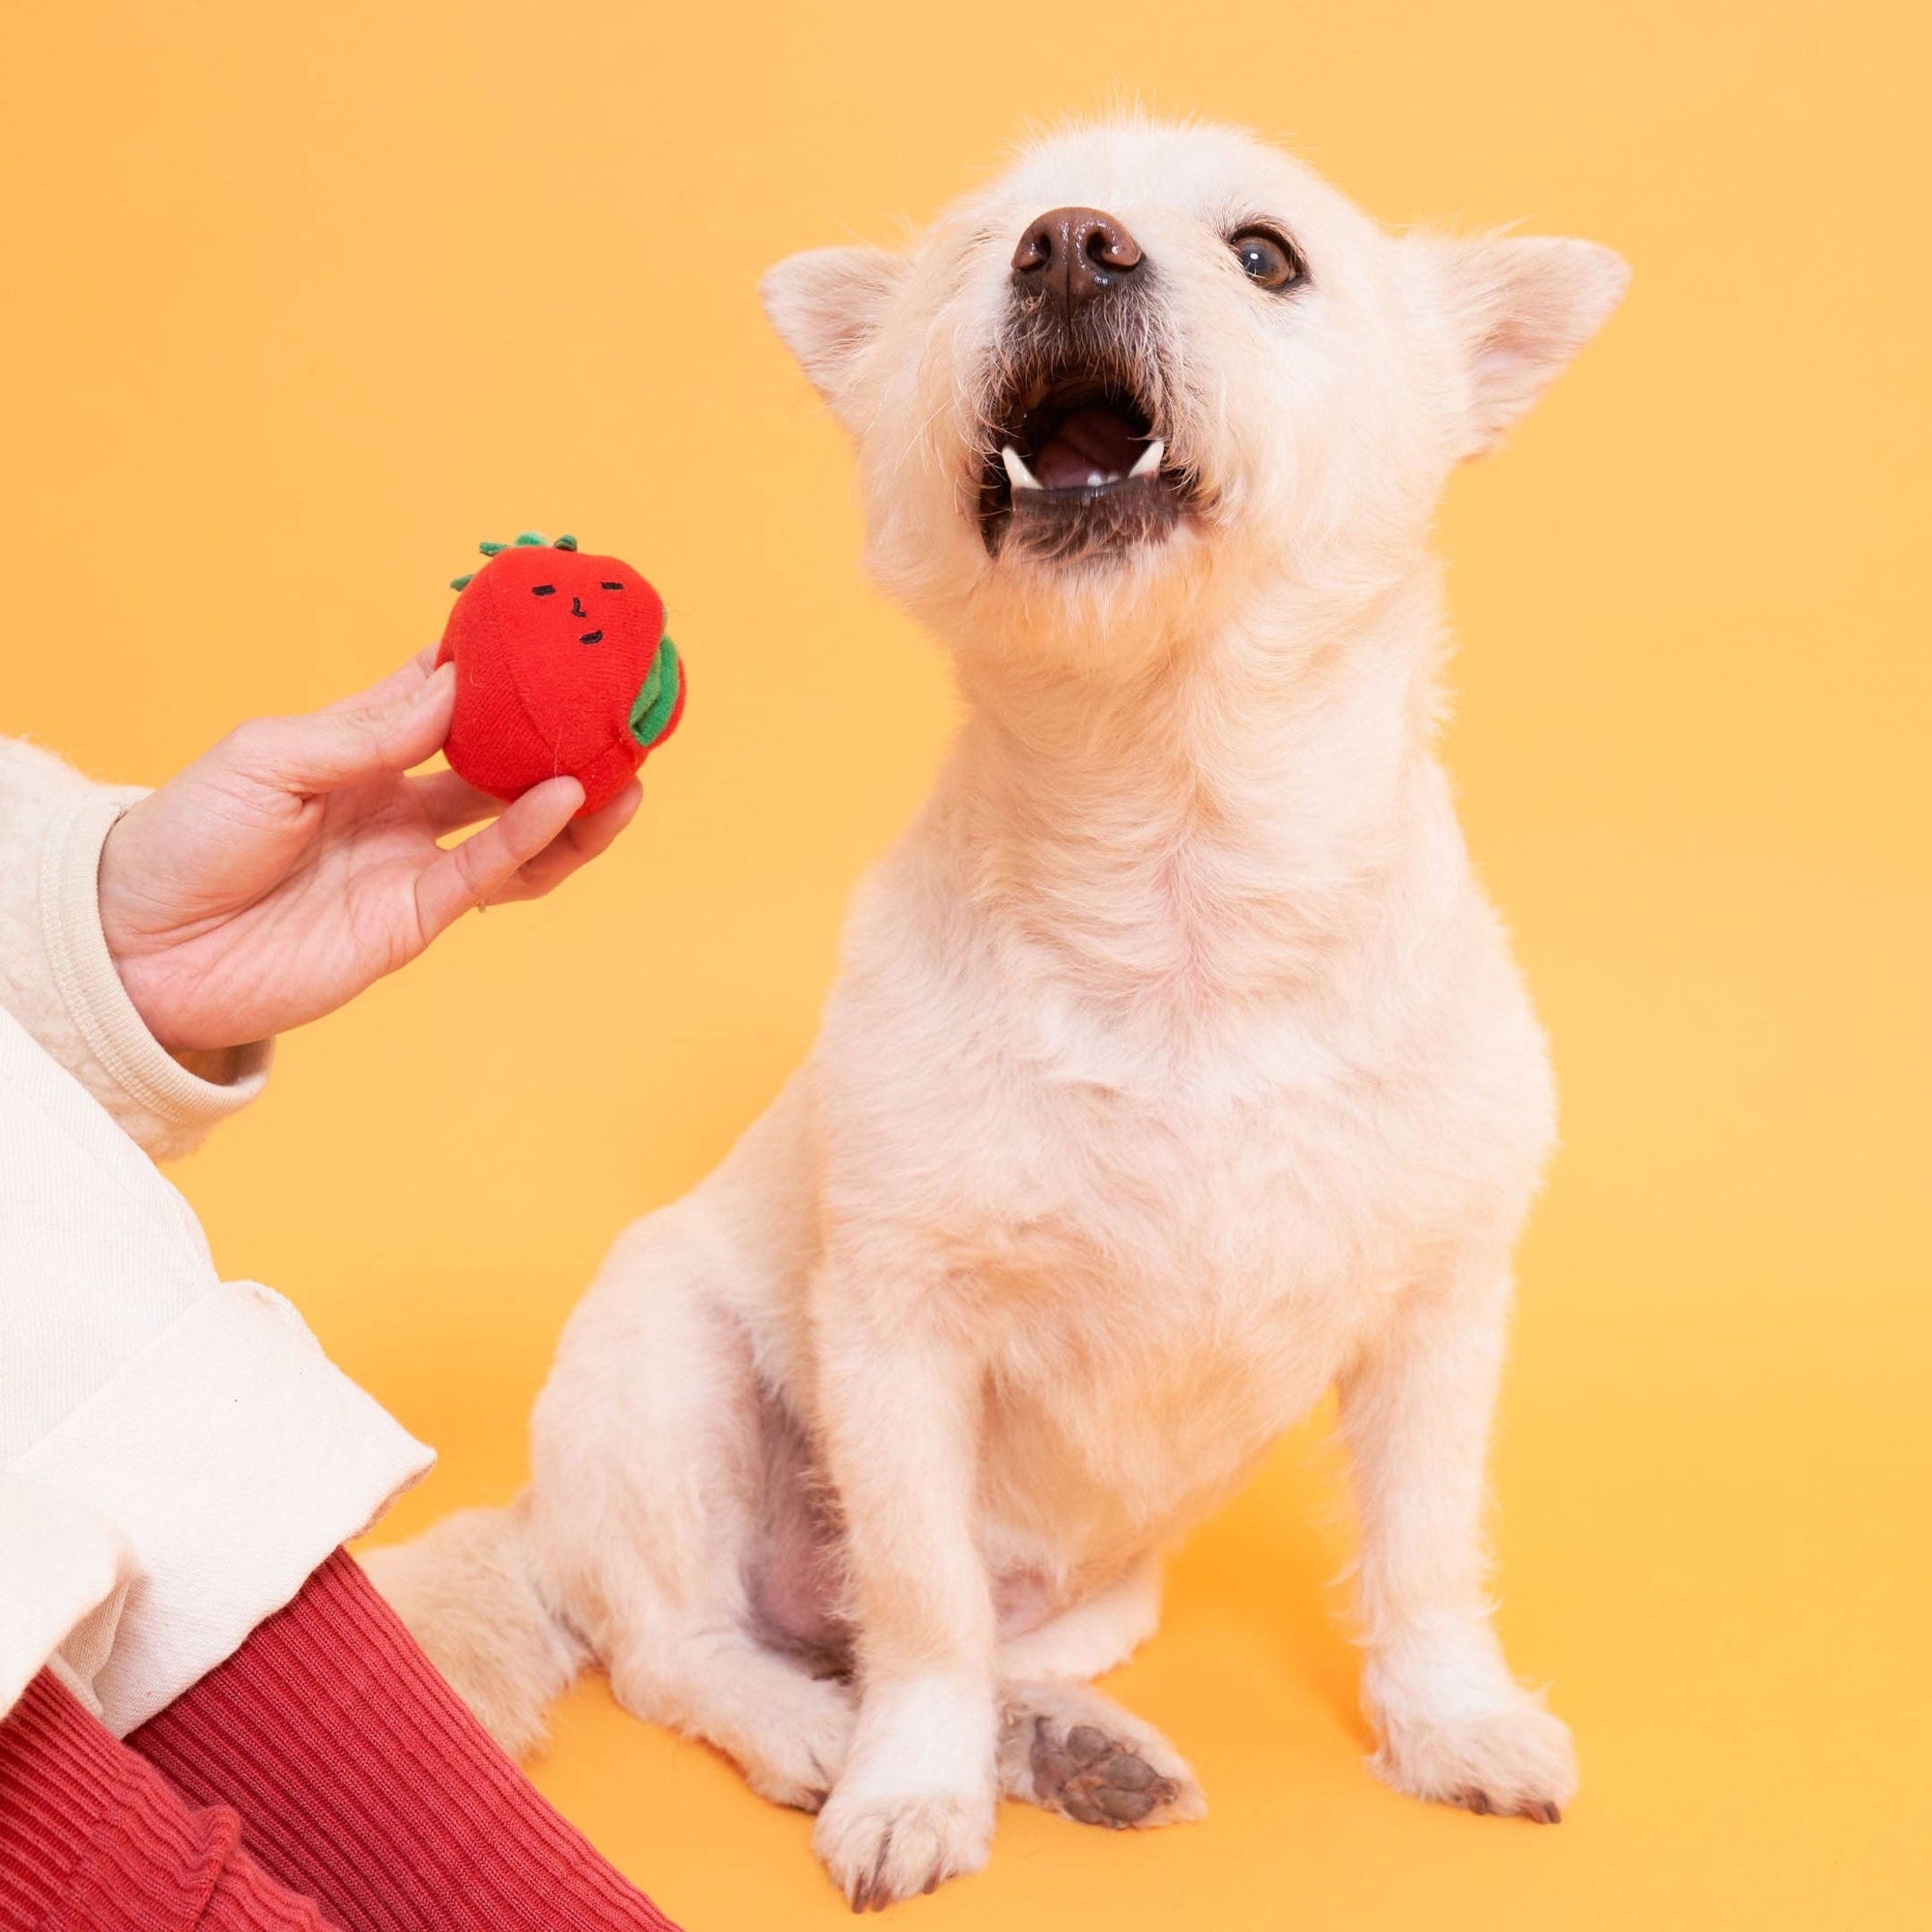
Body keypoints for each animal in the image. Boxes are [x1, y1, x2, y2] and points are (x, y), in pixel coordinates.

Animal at [365, 117, 1631, 1901]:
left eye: (1266, 255)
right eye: (989, 243)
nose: (1072, 244)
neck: (1176, 872)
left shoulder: (1441, 1313)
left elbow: (1425, 1550)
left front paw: (1452, 1722)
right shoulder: (900, 1336)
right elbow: (921, 1608)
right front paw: (906, 1788)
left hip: (1099, 1593)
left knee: (962, 1643)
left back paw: (1070, 1747)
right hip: (666, 1376)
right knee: (695, 1650)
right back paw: (816, 1734)